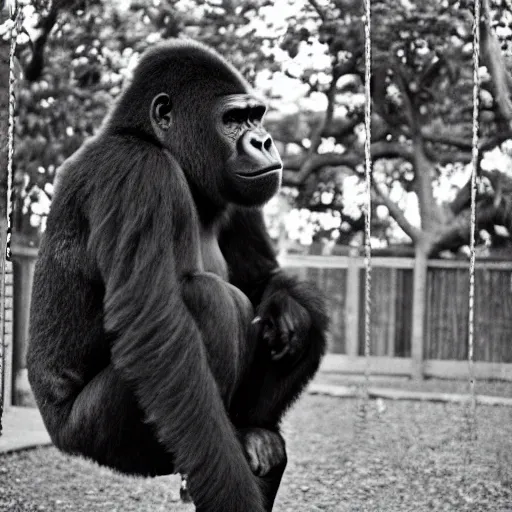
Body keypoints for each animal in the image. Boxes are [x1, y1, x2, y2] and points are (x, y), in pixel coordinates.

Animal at [27, 41, 328, 512]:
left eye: (256, 116)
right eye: (232, 120)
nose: (264, 140)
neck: (155, 141)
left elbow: (263, 278)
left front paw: (285, 310)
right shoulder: (135, 169)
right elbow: (156, 329)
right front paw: (229, 491)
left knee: (300, 308)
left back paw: (255, 434)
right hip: (90, 436)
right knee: (210, 304)